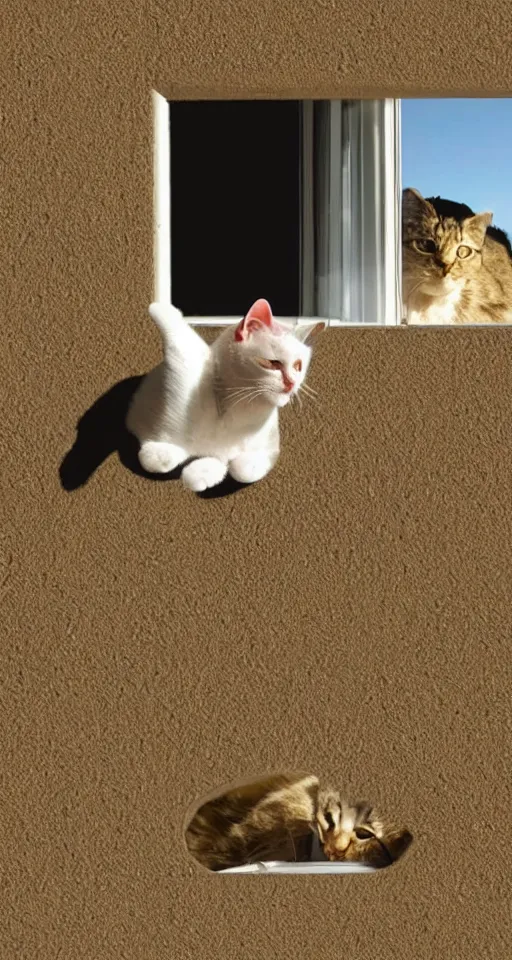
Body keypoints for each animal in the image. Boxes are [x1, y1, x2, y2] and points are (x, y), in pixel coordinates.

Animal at [125, 300, 322, 496]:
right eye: (272, 363)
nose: (291, 382)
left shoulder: (269, 448)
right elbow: (153, 460)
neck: (237, 409)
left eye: (298, 366)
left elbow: (241, 470)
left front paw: (200, 474)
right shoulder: (185, 367)